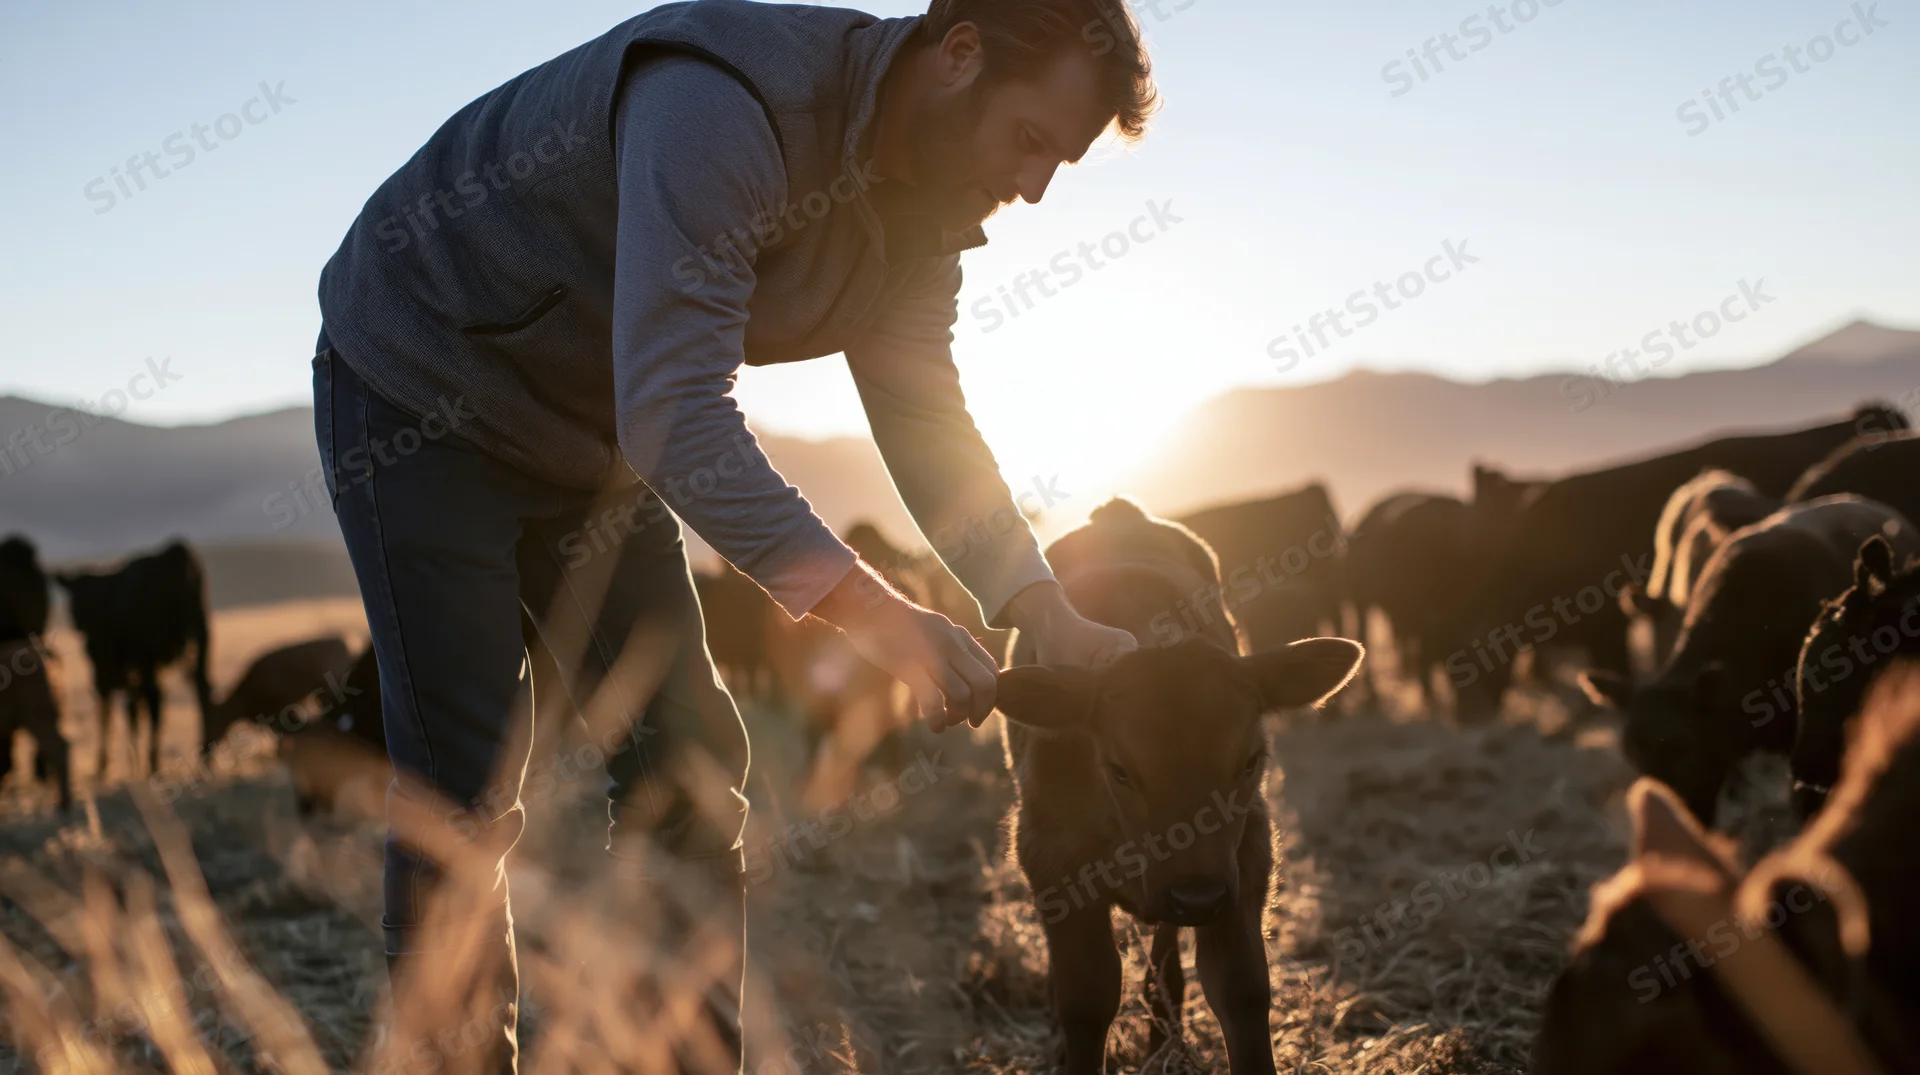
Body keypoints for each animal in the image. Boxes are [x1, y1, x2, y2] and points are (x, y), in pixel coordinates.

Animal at [54, 540, 214, 778]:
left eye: (77, 599)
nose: (79, 625)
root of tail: (177, 552)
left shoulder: (104, 668)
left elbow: (107, 710)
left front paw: (104, 764)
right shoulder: (129, 673)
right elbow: (132, 712)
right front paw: (130, 764)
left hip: (148, 653)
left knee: (154, 697)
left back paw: (153, 762)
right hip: (201, 633)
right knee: (202, 688)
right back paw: (205, 757)